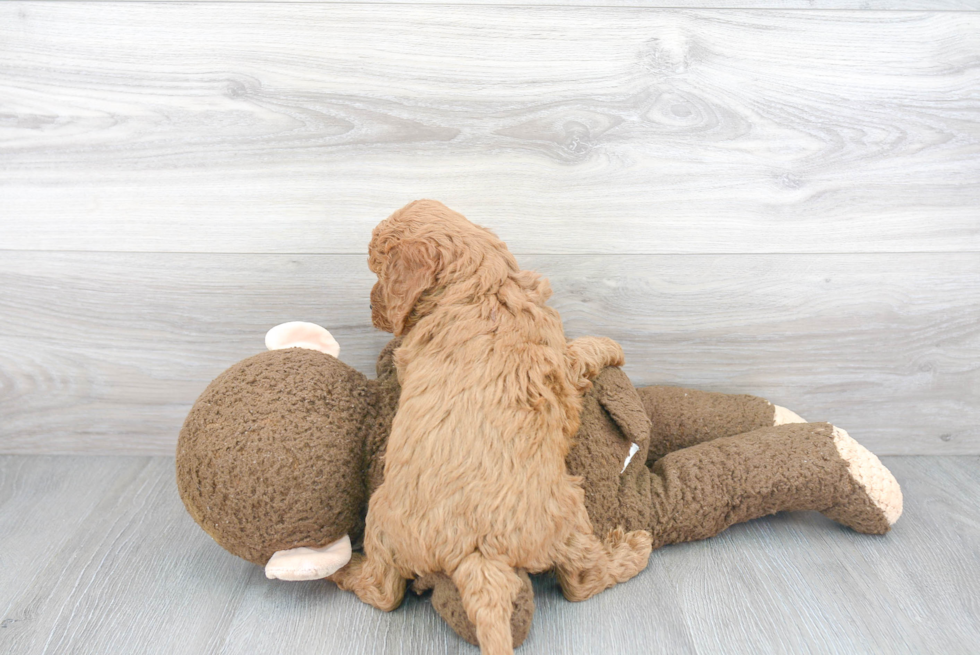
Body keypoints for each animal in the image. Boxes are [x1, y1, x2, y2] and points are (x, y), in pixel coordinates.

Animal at [334, 201, 656, 655]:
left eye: (377, 271)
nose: (372, 309)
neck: (480, 286)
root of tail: (476, 554)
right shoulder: (562, 358)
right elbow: (582, 350)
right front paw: (612, 347)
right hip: (569, 512)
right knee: (581, 581)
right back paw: (634, 548)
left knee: (387, 592)